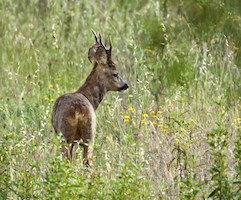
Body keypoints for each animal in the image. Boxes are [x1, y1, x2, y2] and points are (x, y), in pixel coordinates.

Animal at [51, 29, 128, 167]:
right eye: (115, 73)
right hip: (89, 135)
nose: (125, 85)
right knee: (87, 162)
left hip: (65, 136)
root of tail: (79, 111)